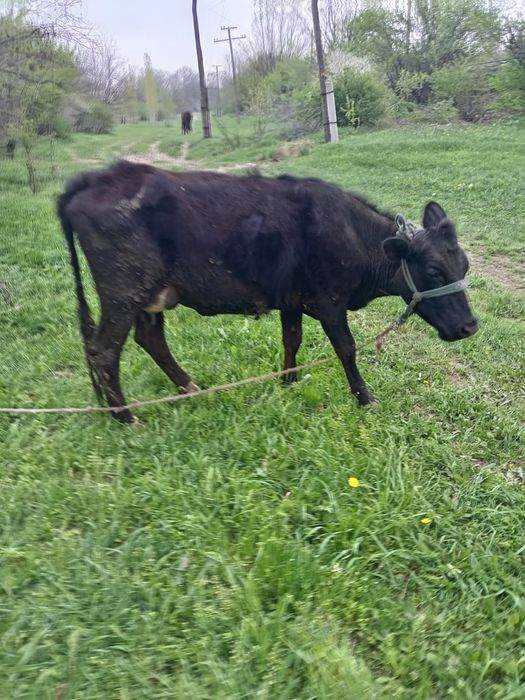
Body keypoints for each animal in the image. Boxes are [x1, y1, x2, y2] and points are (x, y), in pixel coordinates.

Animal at [58, 160, 478, 422]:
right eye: (433, 271)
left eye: (465, 266)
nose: (470, 326)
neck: (353, 234)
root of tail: (98, 178)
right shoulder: (329, 301)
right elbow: (346, 348)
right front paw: (365, 397)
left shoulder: (292, 298)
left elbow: (291, 338)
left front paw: (287, 382)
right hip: (123, 291)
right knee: (103, 351)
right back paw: (126, 417)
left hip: (151, 296)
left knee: (150, 340)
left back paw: (188, 388)